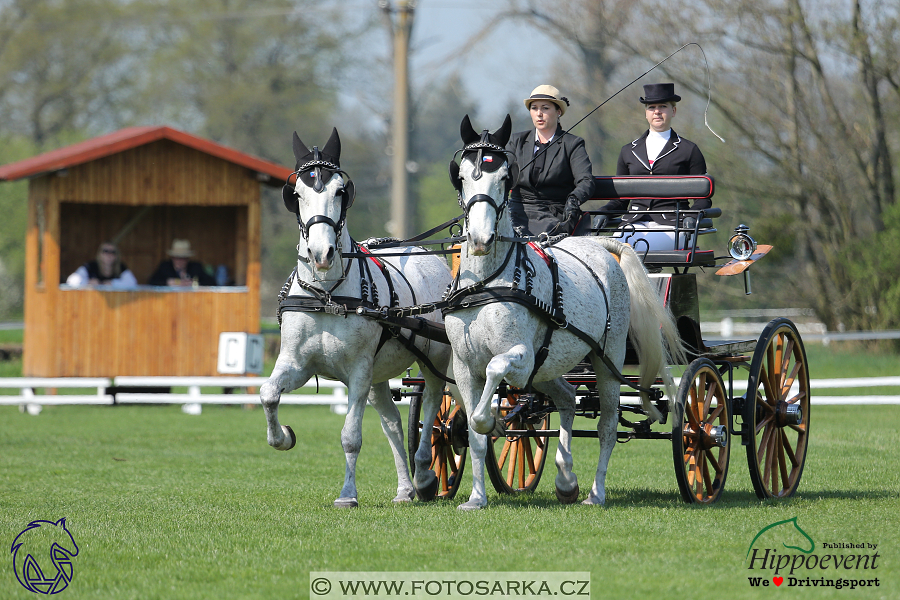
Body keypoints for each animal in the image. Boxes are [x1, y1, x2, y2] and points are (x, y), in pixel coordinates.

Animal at [262, 129, 454, 508]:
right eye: (298, 194)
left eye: (340, 191)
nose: (321, 255)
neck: (327, 294)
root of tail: (429, 255)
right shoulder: (296, 363)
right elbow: (268, 394)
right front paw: (284, 437)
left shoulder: (358, 372)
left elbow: (350, 436)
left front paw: (347, 494)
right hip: (378, 376)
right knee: (393, 424)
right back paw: (405, 489)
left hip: (434, 360)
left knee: (433, 407)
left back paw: (426, 474)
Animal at [426, 115, 684, 508]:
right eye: (463, 176)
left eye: (505, 177)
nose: (481, 240)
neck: (486, 284)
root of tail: (601, 245)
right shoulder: (464, 366)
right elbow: (472, 430)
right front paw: (476, 498)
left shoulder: (519, 357)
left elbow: (489, 392)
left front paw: (494, 421)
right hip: (550, 366)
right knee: (566, 398)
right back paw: (566, 479)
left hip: (607, 359)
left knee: (607, 425)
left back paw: (595, 493)